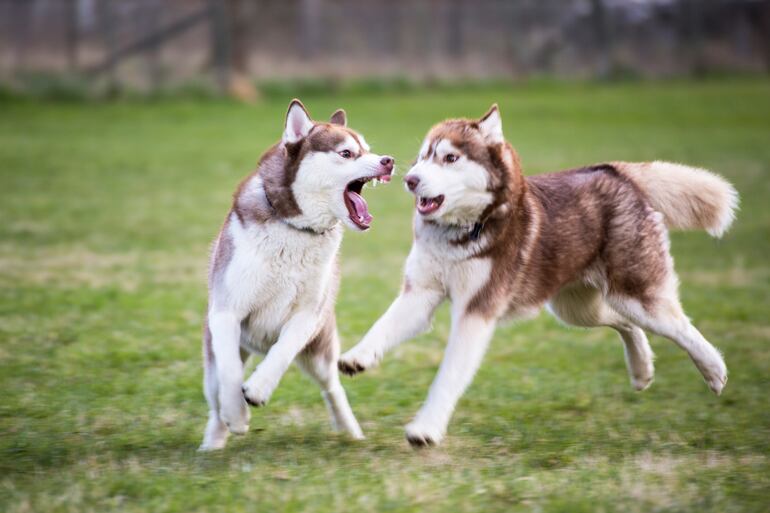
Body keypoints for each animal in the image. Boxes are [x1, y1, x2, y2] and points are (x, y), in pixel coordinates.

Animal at [199, 99, 394, 450]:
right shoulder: (225, 312)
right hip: (214, 360)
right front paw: (236, 415)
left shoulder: (308, 314)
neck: (295, 229)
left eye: (368, 149)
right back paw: (213, 441)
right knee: (216, 395)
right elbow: (230, 374)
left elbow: (282, 351)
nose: (389, 161)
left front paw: (258, 389)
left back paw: (351, 432)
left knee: (332, 386)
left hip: (321, 352)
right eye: (347, 153)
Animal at [338, 104, 738, 447]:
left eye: (450, 158)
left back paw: (715, 370)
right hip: (577, 309)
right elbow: (382, 327)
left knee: (679, 326)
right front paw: (358, 356)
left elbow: (448, 376)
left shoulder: (476, 312)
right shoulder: (420, 293)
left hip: (635, 294)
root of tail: (616, 171)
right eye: (422, 156)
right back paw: (641, 369)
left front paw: (426, 429)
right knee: (625, 323)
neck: (464, 231)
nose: (409, 179)